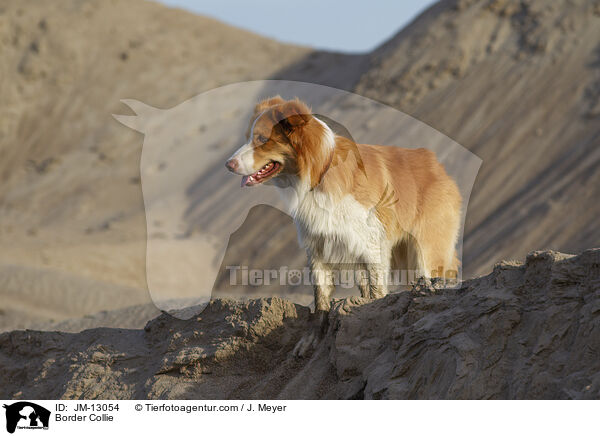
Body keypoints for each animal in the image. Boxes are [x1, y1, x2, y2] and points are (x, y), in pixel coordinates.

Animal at [227, 96, 462, 312]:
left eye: (261, 138)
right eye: (248, 137)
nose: (228, 165)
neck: (318, 174)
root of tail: (437, 166)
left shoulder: (372, 243)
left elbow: (377, 290)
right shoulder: (319, 246)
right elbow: (321, 295)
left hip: (426, 251)